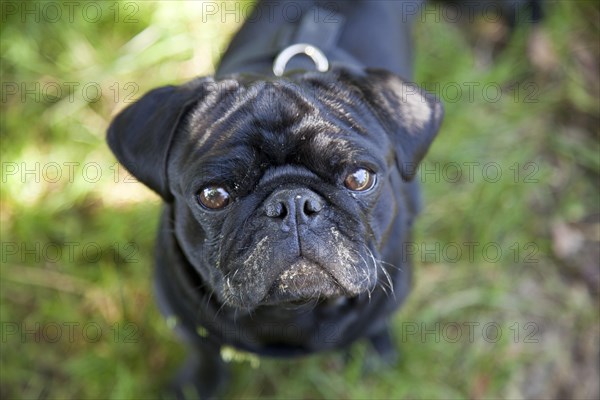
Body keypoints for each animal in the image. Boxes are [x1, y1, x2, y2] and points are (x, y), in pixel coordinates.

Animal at [108, 0, 446, 396]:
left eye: (359, 178)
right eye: (213, 195)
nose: (293, 203)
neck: (291, 311)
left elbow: (374, 324)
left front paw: (375, 350)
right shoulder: (187, 322)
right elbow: (205, 353)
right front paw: (196, 386)